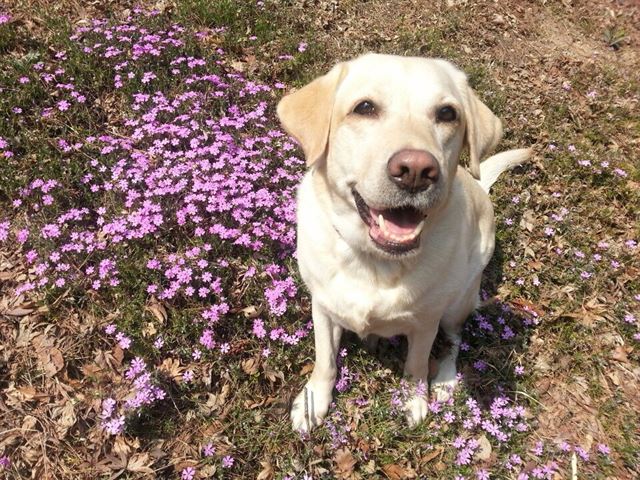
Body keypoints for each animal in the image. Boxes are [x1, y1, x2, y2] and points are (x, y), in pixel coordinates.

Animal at [276, 53, 528, 432]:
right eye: (364, 107)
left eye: (447, 114)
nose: (416, 170)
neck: (375, 260)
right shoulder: (322, 307)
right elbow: (325, 360)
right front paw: (313, 401)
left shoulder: (425, 322)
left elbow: (417, 364)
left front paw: (414, 400)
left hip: (458, 301)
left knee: (455, 340)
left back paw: (445, 382)